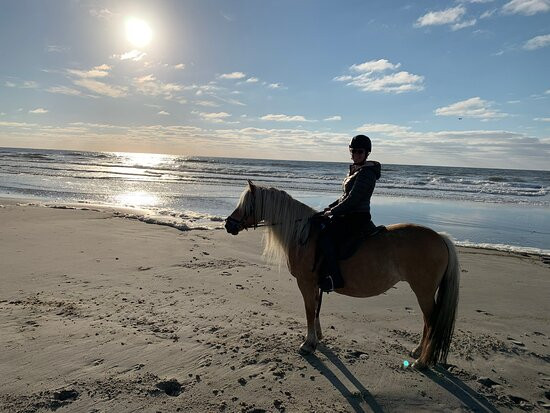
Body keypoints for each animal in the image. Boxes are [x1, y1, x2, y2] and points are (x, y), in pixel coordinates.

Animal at [224, 180, 462, 366]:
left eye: (246, 205)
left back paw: (422, 362)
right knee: (427, 321)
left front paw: (308, 344)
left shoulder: (305, 282)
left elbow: (309, 310)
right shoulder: (315, 284)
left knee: (431, 321)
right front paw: (317, 338)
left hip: (423, 291)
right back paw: (418, 352)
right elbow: (315, 310)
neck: (305, 236)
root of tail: (441, 238)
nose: (228, 225)